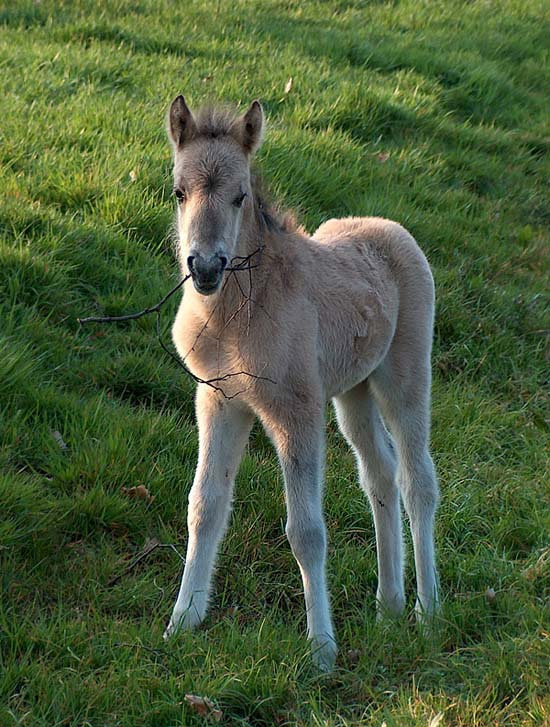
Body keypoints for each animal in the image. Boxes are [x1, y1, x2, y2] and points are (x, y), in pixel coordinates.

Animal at [163, 95, 440, 671]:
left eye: (241, 196)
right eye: (178, 192)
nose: (205, 267)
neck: (235, 316)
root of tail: (391, 227)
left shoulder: (297, 412)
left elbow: (306, 532)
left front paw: (321, 650)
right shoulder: (220, 401)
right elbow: (205, 506)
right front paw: (182, 622)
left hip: (403, 377)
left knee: (416, 480)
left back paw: (428, 613)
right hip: (353, 392)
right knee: (379, 473)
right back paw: (388, 606)